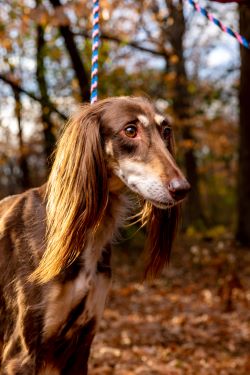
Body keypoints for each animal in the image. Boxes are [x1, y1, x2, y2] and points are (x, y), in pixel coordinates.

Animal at [0, 97, 189, 374]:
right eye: (130, 130)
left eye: (166, 131)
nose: (182, 189)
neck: (85, 234)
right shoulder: (21, 353)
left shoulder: (82, 342)